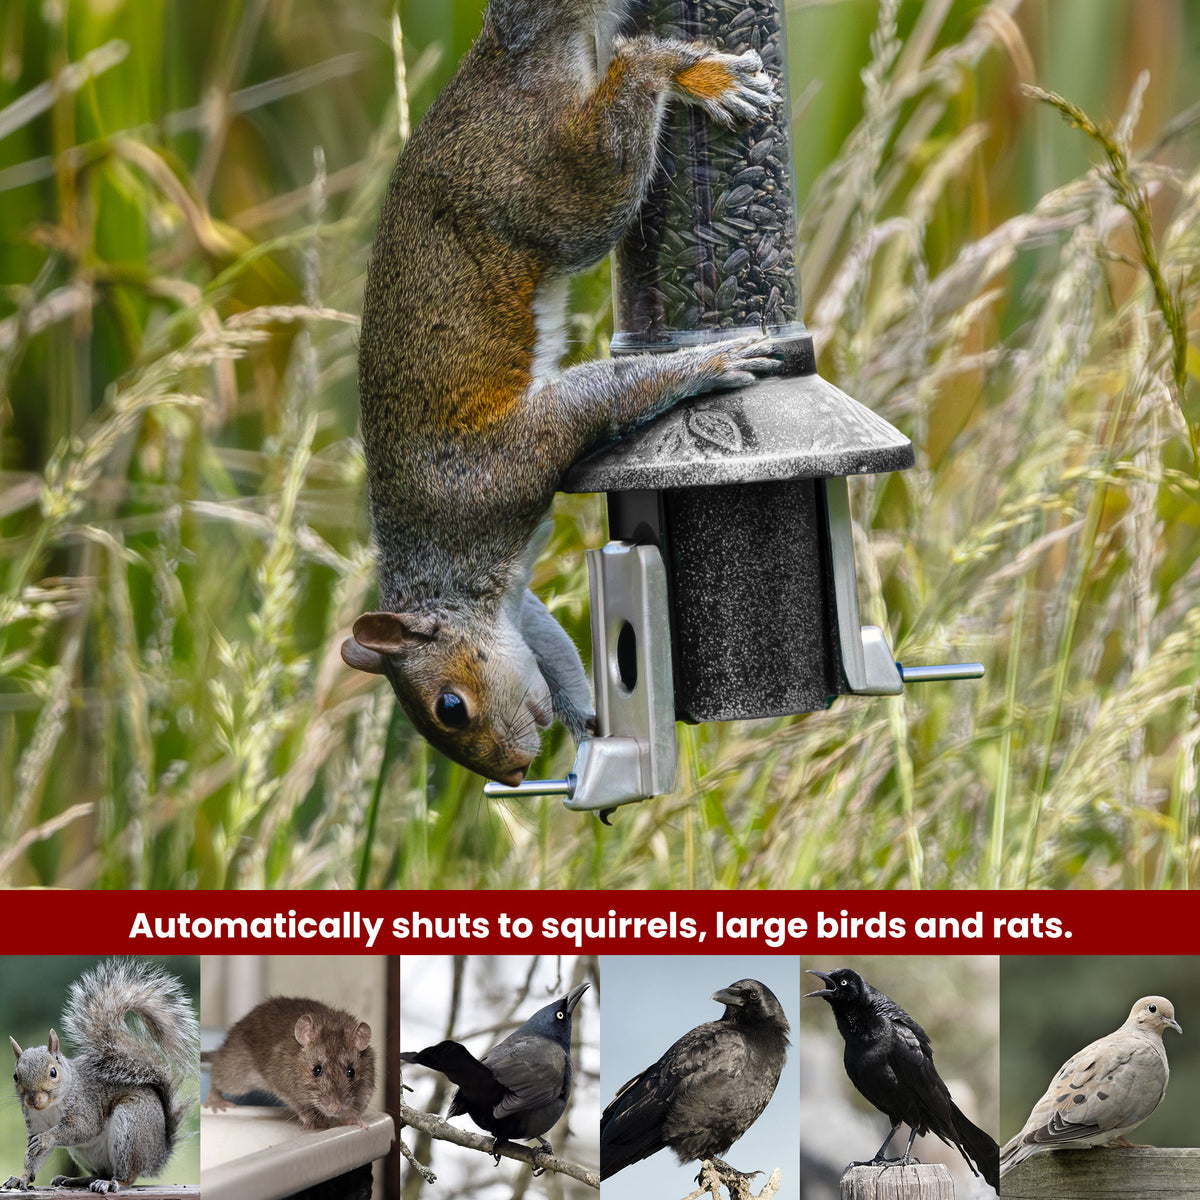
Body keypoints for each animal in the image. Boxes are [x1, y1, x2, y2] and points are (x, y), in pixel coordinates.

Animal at [4, 958, 198, 1194]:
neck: (51, 1106)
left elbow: (83, 1128)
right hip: (85, 1153)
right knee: (102, 1171)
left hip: (131, 1127)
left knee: (127, 1175)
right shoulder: (35, 1122)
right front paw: (21, 1178)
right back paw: (76, 1180)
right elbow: (33, 1157)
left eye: (53, 1072)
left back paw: (113, 1182)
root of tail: (157, 1155)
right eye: (15, 1076)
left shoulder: (85, 1105)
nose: (33, 1099)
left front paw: (47, 1138)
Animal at [343, 0, 782, 785]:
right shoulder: (520, 610)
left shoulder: (504, 468)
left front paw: (714, 360)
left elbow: (598, 400)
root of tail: (502, 59)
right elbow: (552, 649)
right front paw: (588, 723)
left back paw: (687, 72)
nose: (514, 772)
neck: (446, 565)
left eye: (450, 707)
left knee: (624, 95)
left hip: (551, 189)